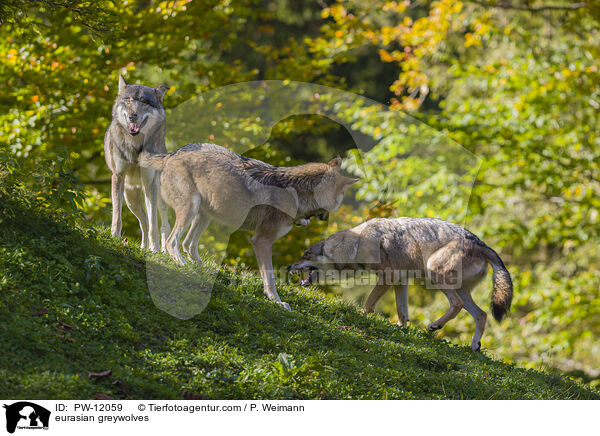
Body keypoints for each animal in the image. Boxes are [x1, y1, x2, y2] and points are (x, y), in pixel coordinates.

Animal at [104, 75, 171, 252]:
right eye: (129, 100)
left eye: (145, 103)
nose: (132, 116)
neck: (135, 145)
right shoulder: (118, 177)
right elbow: (117, 216)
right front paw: (114, 238)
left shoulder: (149, 182)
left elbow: (155, 224)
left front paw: (155, 250)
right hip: (130, 200)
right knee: (144, 222)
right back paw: (143, 248)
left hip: (158, 195)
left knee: (164, 225)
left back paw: (164, 251)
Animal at [138, 145, 358, 312]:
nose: (326, 218)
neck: (297, 193)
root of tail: (172, 154)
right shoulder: (261, 241)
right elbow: (270, 278)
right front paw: (277, 301)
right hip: (191, 210)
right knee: (172, 242)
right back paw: (183, 266)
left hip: (204, 215)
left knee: (188, 244)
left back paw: (203, 270)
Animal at [288, 218, 512, 350]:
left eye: (305, 254)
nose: (289, 265)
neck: (356, 244)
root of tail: (481, 243)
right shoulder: (400, 280)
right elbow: (402, 313)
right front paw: (400, 331)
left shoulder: (388, 277)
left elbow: (368, 304)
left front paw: (360, 317)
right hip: (461, 290)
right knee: (482, 314)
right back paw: (474, 346)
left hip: (434, 273)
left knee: (457, 305)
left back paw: (435, 325)